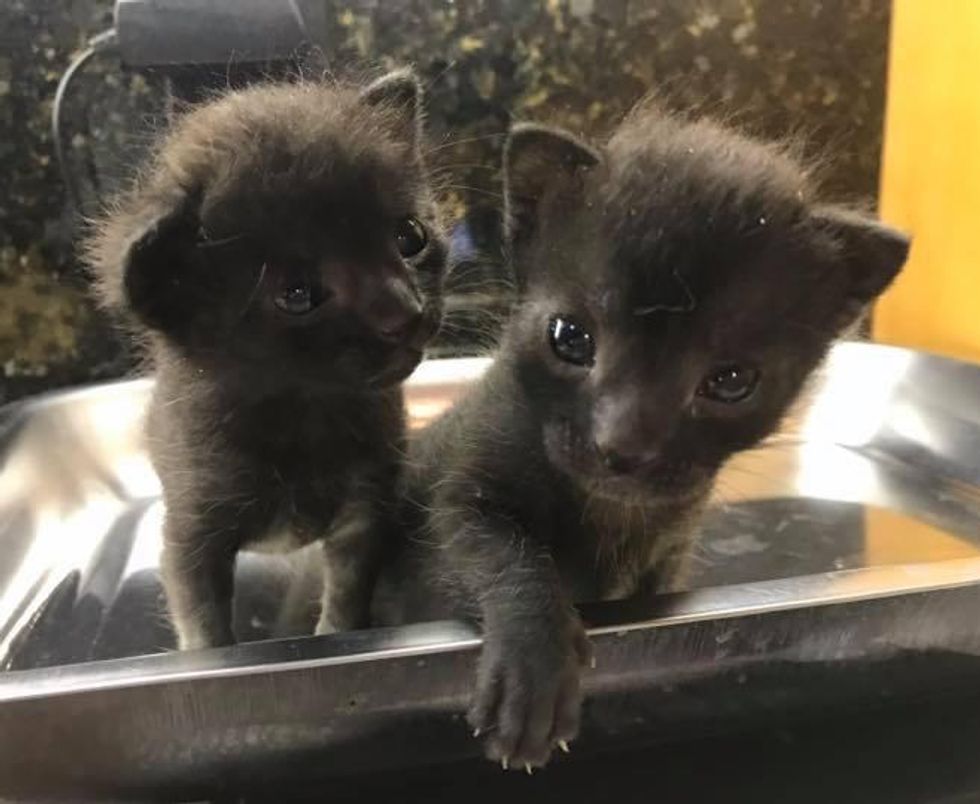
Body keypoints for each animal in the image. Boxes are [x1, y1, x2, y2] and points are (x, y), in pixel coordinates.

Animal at [87, 70, 448, 652]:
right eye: (297, 294)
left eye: (409, 236)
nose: (406, 312)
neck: (304, 415)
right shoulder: (191, 536)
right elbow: (204, 626)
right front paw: (210, 653)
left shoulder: (366, 513)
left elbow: (347, 593)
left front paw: (336, 632)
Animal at [370, 105, 912, 768]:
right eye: (569, 338)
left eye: (731, 381)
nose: (622, 447)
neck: (609, 512)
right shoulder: (459, 491)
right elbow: (502, 553)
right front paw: (534, 675)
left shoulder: (670, 553)